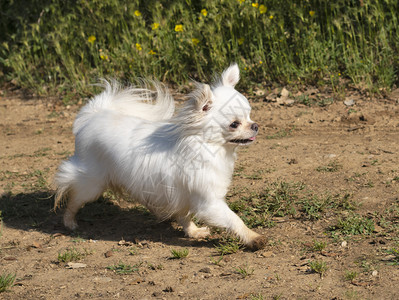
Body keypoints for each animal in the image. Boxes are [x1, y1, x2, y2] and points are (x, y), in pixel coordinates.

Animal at [53, 64, 266, 250]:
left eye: (249, 115)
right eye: (234, 124)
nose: (255, 125)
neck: (206, 145)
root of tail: (94, 115)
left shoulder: (179, 194)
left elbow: (185, 217)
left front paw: (193, 232)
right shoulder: (209, 202)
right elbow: (233, 219)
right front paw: (253, 238)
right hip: (92, 183)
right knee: (74, 197)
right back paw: (69, 221)